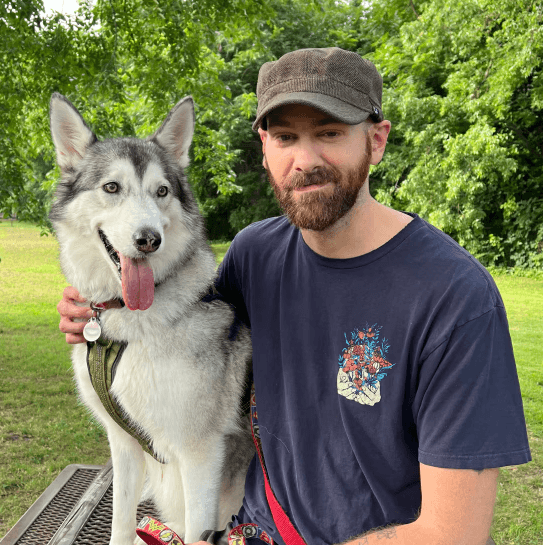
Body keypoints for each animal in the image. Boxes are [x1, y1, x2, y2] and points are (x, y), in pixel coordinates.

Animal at [48, 94, 255, 544]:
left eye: (161, 191)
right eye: (112, 187)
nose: (148, 240)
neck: (129, 324)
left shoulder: (200, 454)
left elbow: (197, 532)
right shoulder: (123, 442)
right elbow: (121, 521)